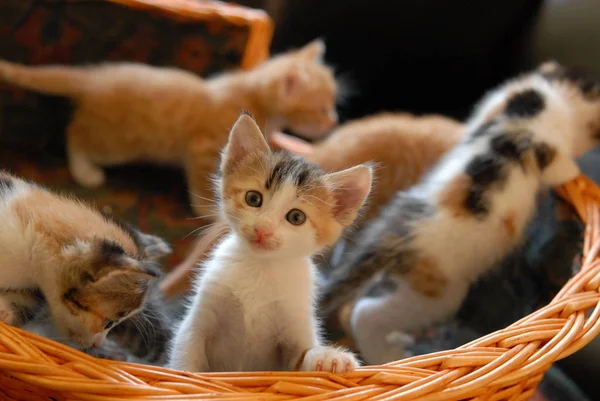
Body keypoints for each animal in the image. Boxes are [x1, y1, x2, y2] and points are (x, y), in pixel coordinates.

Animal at [0, 39, 338, 216]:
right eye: (322, 109)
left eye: (333, 104)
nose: (334, 121)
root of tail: (97, 77)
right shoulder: (203, 148)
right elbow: (202, 181)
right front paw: (206, 209)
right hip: (116, 143)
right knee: (76, 135)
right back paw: (86, 171)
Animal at [169, 112, 372, 372]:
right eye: (253, 198)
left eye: (296, 217)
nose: (262, 229)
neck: (261, 267)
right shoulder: (198, 319)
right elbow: (187, 350)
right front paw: (184, 376)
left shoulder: (294, 326)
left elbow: (301, 359)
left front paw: (328, 358)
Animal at [322, 61, 600, 364]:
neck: (543, 94)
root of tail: (395, 232)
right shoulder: (547, 143)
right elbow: (561, 169)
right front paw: (579, 175)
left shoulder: (493, 104)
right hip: (436, 294)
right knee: (365, 314)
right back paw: (387, 354)